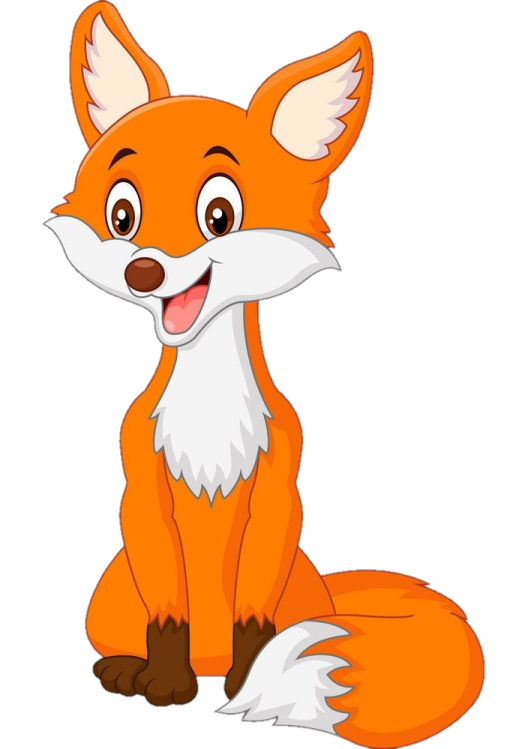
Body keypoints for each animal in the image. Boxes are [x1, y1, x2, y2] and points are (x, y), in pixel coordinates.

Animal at [46, 1, 484, 745]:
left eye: (219, 215)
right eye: (122, 214)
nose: (144, 271)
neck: (208, 400)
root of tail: (334, 588)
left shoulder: (279, 492)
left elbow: (254, 621)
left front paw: (245, 681)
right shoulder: (143, 494)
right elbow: (167, 615)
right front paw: (165, 684)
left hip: (297, 583)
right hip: (113, 584)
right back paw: (130, 670)